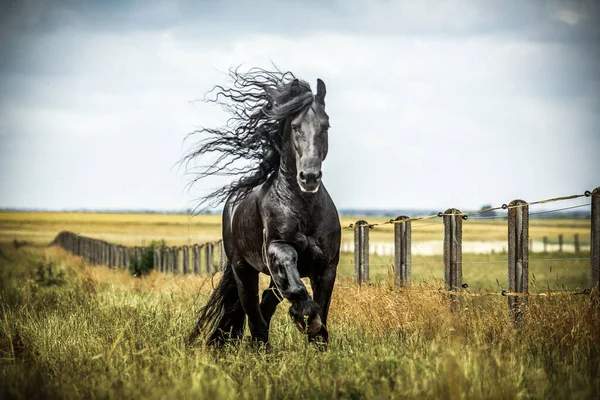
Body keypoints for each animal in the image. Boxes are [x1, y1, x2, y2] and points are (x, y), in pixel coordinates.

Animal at [185, 67, 340, 346]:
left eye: (326, 125)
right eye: (295, 126)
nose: (309, 177)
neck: (303, 208)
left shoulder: (326, 267)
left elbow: (322, 313)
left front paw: (314, 329)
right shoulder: (276, 250)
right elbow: (295, 282)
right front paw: (305, 316)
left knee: (264, 309)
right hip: (243, 270)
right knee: (254, 315)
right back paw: (261, 348)